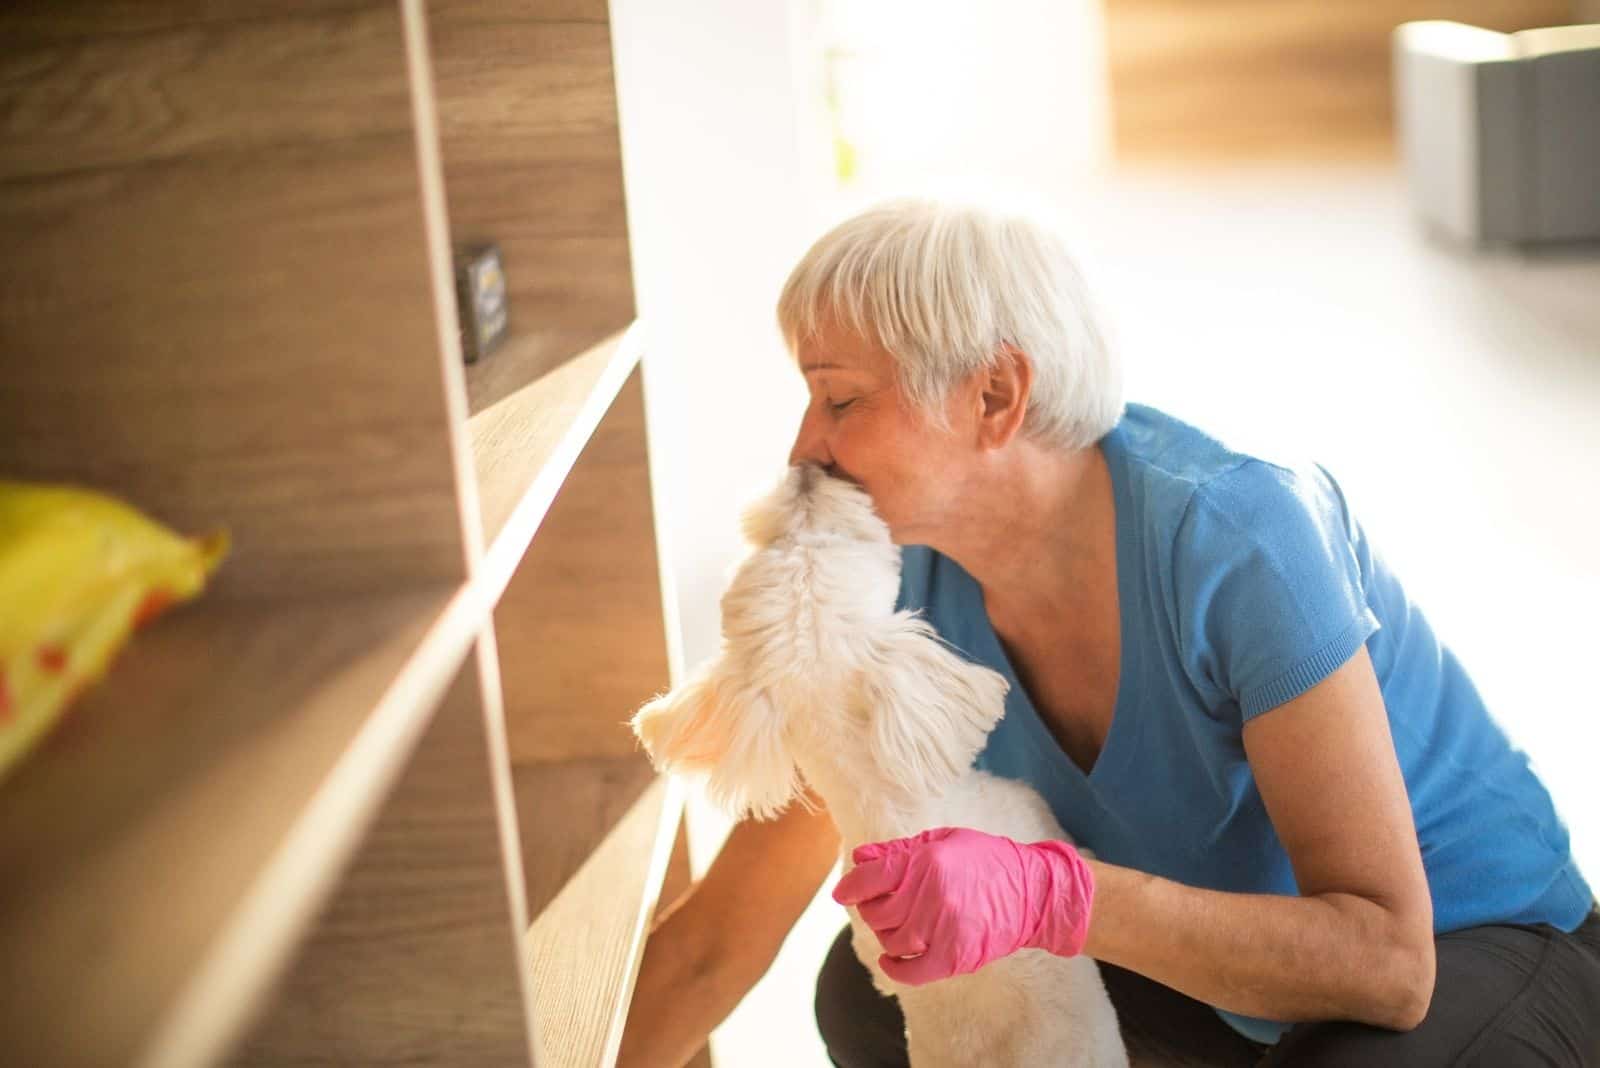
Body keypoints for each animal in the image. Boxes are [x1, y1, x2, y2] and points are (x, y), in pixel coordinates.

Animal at [630, 466, 1132, 1068]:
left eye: (781, 542)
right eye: (819, 539)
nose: (806, 474)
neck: (888, 812)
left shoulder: (872, 940)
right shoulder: (1028, 817)